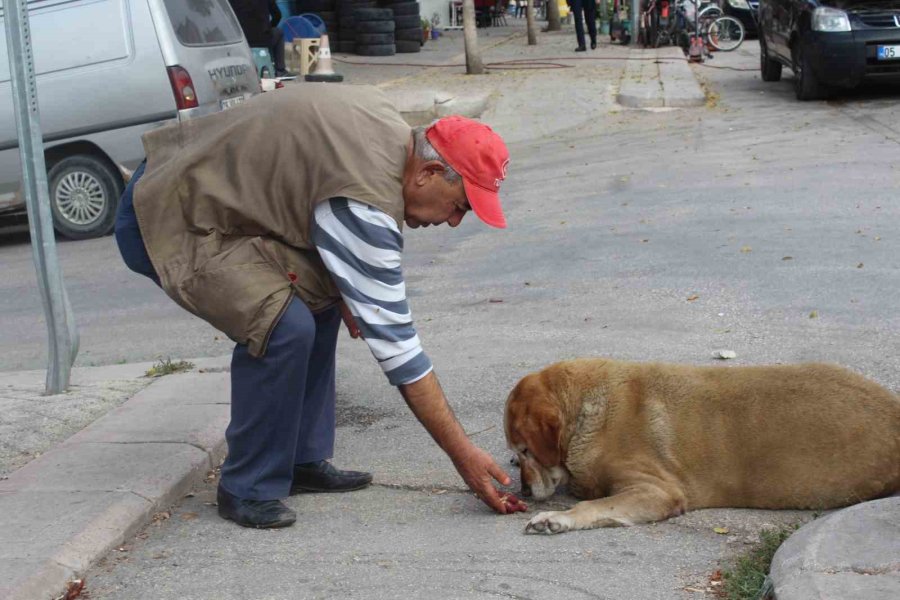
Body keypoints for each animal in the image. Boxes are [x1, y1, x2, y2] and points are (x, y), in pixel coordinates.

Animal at [506, 356, 900, 536]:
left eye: (525, 451)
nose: (522, 490)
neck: (586, 412)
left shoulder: (656, 490)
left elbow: (594, 505)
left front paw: (555, 518)